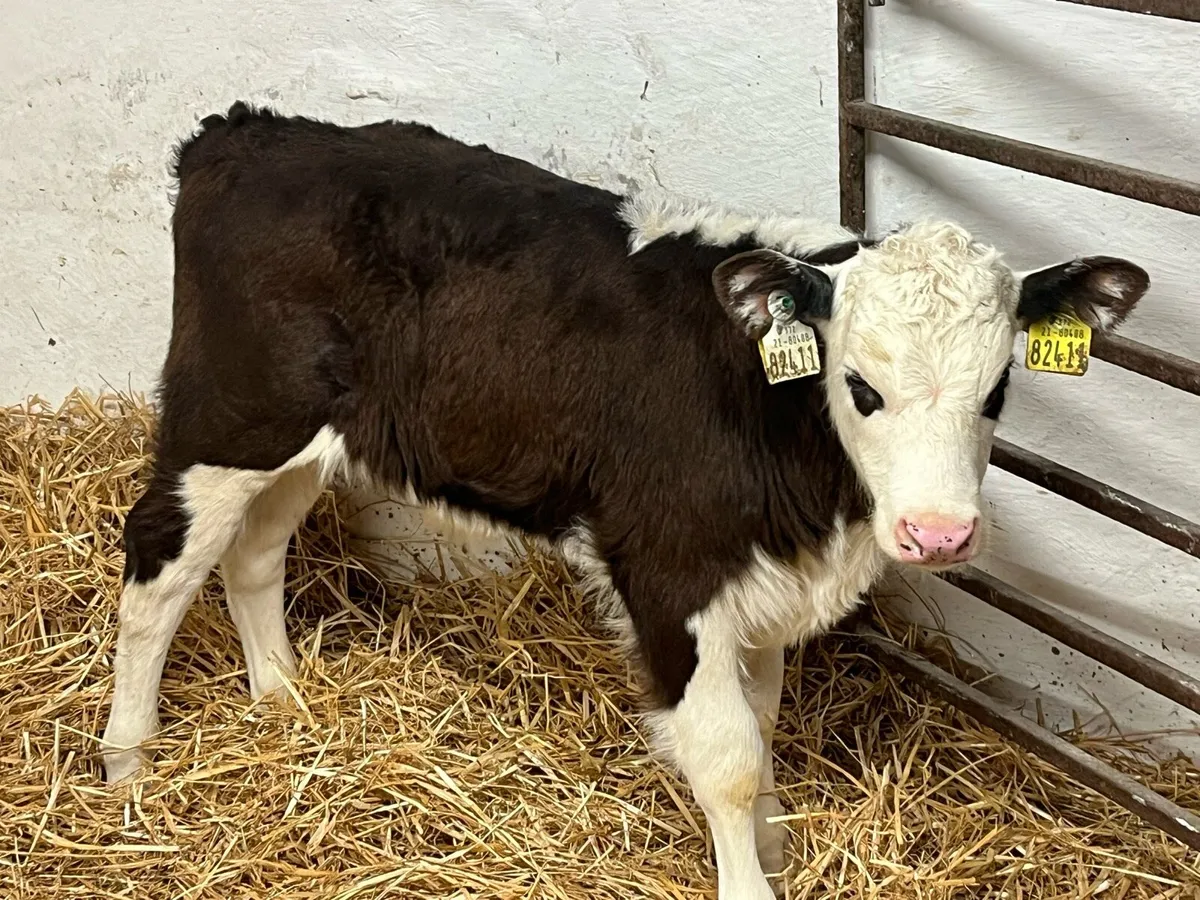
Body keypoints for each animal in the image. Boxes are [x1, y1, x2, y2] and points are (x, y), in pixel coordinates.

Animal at [100, 102, 1148, 899]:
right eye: (859, 387)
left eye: (999, 390)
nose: (938, 534)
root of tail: (249, 132)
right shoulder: (669, 571)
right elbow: (726, 756)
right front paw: (748, 878)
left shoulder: (760, 583)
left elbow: (763, 723)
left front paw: (773, 842)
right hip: (227, 420)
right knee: (157, 567)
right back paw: (127, 763)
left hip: (305, 441)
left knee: (253, 552)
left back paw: (283, 701)